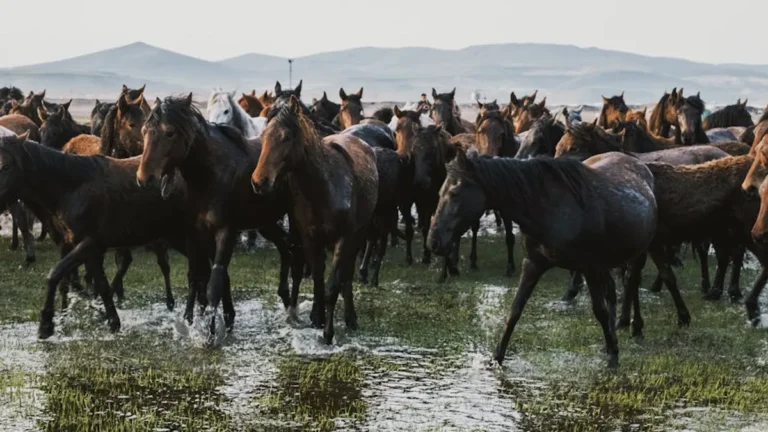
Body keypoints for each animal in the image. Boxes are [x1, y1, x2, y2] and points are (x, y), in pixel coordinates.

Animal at [137, 94, 293, 334]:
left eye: (169, 132)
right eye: (145, 130)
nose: (144, 178)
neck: (209, 175)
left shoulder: (225, 232)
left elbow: (216, 278)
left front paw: (210, 329)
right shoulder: (195, 233)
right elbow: (198, 274)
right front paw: (206, 318)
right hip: (266, 223)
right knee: (285, 246)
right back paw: (286, 297)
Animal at [251, 95, 379, 344]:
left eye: (286, 137)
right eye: (264, 135)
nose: (259, 182)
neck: (325, 188)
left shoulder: (343, 240)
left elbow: (331, 287)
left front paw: (328, 334)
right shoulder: (310, 238)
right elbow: (318, 281)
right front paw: (317, 319)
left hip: (358, 235)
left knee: (346, 275)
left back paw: (351, 318)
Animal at [428, 149, 657, 369]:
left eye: (454, 193)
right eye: (439, 193)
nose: (434, 242)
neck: (550, 210)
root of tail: (640, 166)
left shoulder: (589, 266)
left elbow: (599, 310)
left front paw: (613, 358)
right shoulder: (533, 264)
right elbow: (514, 310)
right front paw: (496, 358)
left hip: (637, 254)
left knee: (632, 283)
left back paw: (634, 326)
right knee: (613, 290)